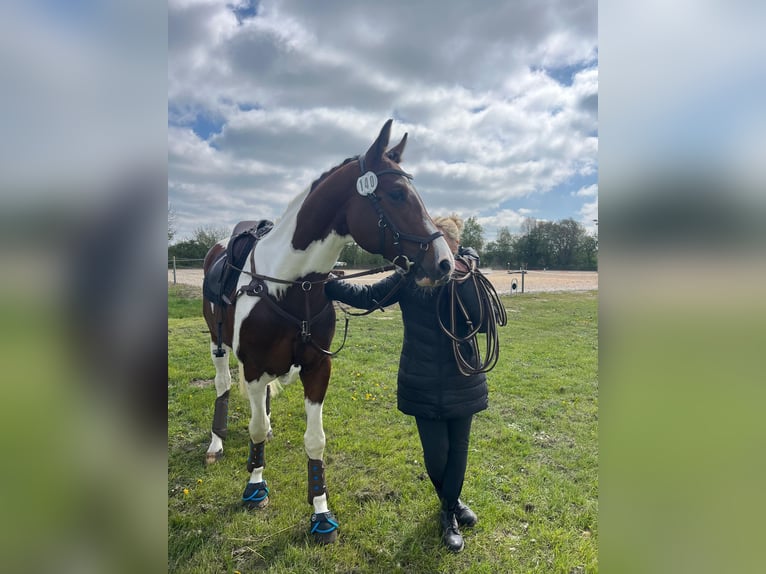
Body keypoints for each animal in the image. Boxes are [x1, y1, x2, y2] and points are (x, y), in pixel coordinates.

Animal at [200, 120, 455, 543]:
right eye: (397, 194)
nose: (445, 263)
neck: (292, 284)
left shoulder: (318, 367)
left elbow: (314, 440)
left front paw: (320, 512)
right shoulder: (251, 368)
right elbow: (254, 427)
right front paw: (255, 486)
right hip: (217, 343)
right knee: (223, 386)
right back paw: (216, 441)